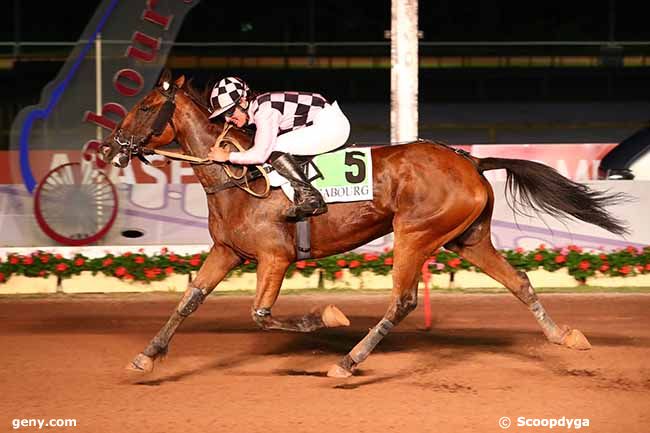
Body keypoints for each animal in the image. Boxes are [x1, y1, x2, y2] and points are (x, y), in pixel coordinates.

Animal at [102, 72, 628, 376]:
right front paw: (148, 355)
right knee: (519, 281)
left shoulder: (276, 256)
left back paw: (348, 360)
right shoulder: (227, 252)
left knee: (403, 300)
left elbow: (262, 314)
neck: (238, 178)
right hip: (467, 238)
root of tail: (471, 162)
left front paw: (327, 318)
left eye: (146, 107)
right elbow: (187, 302)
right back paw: (564, 337)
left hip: (416, 233)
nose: (111, 147)